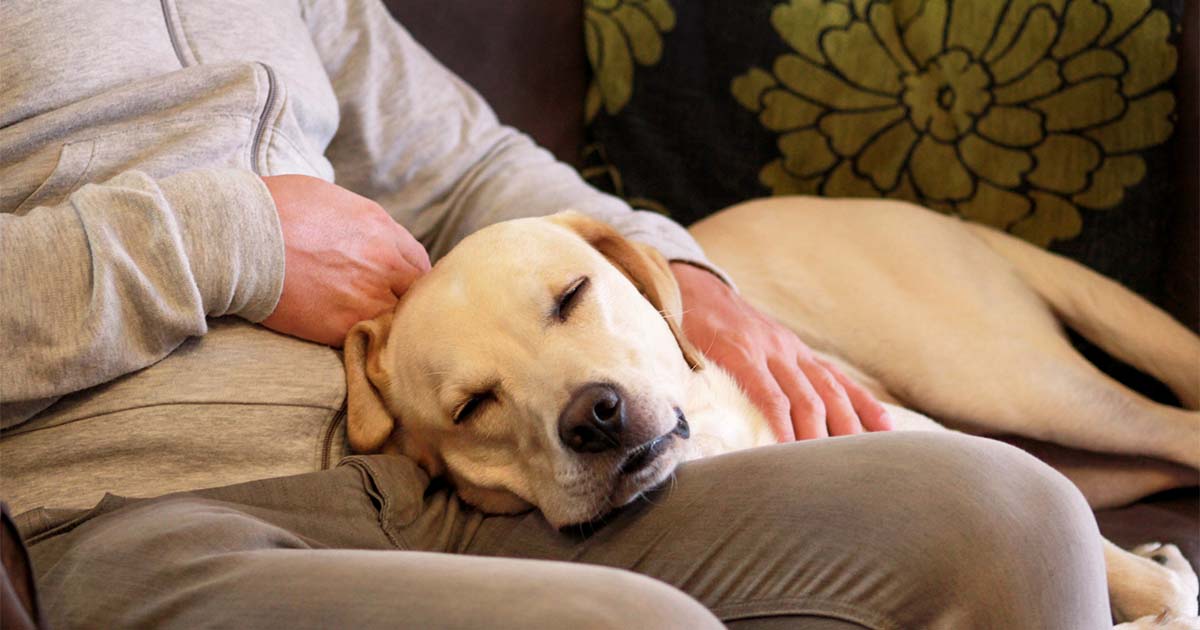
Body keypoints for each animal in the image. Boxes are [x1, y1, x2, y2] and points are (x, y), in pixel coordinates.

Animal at [345, 199, 1200, 624]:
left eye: (571, 294)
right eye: (472, 405)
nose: (594, 416)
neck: (709, 442)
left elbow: (1163, 595)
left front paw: (1163, 586)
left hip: (1007, 384)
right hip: (1073, 449)